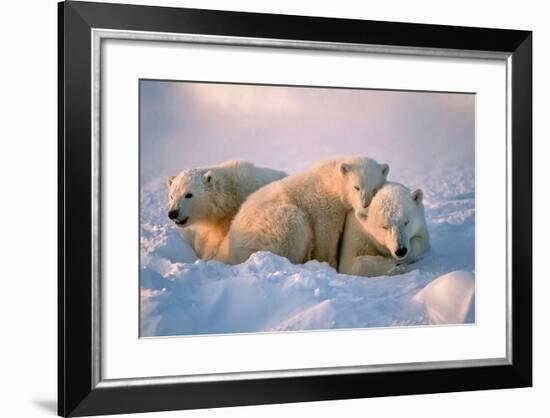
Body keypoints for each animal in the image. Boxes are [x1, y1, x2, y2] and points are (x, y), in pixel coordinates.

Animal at [218, 157, 390, 268]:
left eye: (375, 189)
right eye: (356, 187)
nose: (365, 205)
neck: (332, 181)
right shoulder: (324, 205)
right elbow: (326, 235)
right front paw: (329, 263)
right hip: (274, 225)